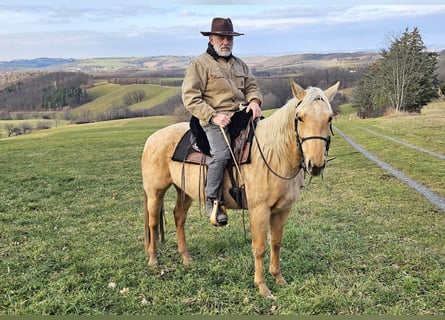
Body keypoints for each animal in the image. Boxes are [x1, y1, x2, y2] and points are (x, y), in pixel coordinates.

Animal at [140, 80, 338, 298]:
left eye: (329, 118)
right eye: (300, 117)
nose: (315, 164)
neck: (274, 154)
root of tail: (152, 138)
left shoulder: (282, 210)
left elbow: (276, 243)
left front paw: (279, 278)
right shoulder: (259, 210)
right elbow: (259, 247)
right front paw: (262, 286)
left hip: (184, 191)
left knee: (179, 217)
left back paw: (186, 258)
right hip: (155, 191)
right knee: (152, 223)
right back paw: (153, 259)